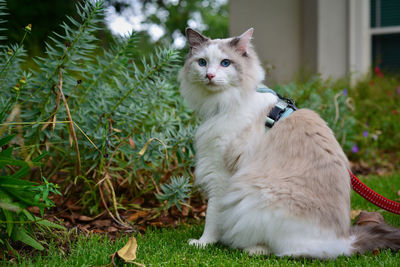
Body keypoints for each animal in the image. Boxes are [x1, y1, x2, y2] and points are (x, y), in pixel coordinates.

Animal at [179, 27, 400, 260]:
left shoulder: (220, 175)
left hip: (252, 196)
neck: (227, 103)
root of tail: (345, 242)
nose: (209, 75)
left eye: (225, 63)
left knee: (284, 249)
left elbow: (211, 217)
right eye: (202, 62)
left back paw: (252, 249)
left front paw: (202, 243)